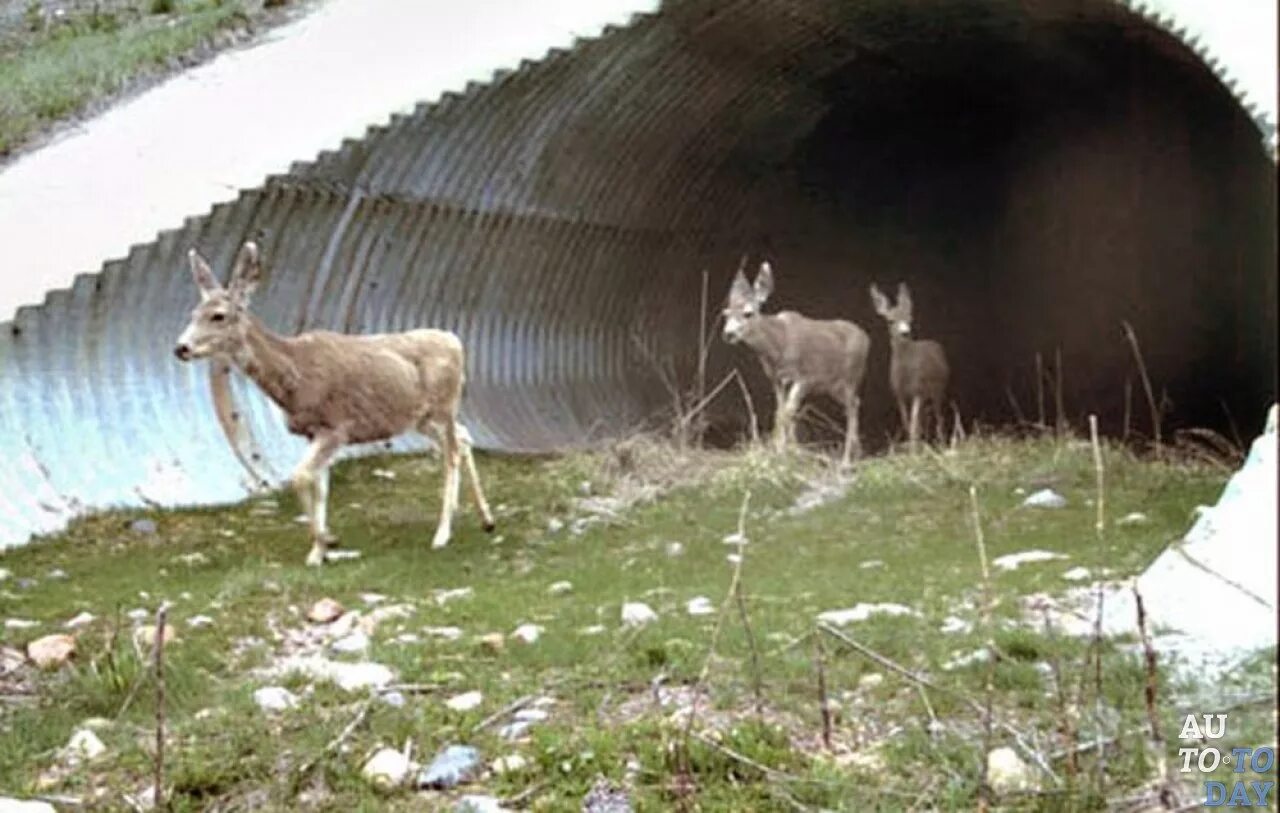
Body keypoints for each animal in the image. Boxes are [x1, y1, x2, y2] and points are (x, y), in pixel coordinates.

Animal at [177, 241, 496, 565]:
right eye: (193, 313)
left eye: (218, 315)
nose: (181, 348)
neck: (294, 376)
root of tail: (455, 340)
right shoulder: (313, 433)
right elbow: (319, 487)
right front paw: (317, 552)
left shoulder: (337, 427)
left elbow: (301, 476)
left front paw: (328, 540)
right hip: (419, 417)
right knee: (463, 438)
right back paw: (486, 519)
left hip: (445, 403)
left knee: (452, 452)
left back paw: (443, 533)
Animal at [721, 261, 870, 463]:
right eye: (726, 313)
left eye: (748, 313)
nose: (728, 334)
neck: (778, 346)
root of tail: (866, 338)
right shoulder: (776, 379)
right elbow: (780, 411)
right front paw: (788, 449)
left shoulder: (806, 377)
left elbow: (788, 411)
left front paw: (781, 450)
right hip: (834, 386)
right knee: (855, 403)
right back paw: (856, 453)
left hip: (851, 378)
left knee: (852, 406)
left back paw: (846, 459)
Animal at [870, 277, 952, 445]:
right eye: (890, 321)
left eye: (910, 318)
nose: (905, 333)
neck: (905, 374)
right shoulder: (899, 393)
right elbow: (907, 423)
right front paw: (912, 444)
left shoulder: (917, 390)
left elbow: (914, 424)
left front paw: (914, 446)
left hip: (939, 389)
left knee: (939, 415)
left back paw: (940, 441)